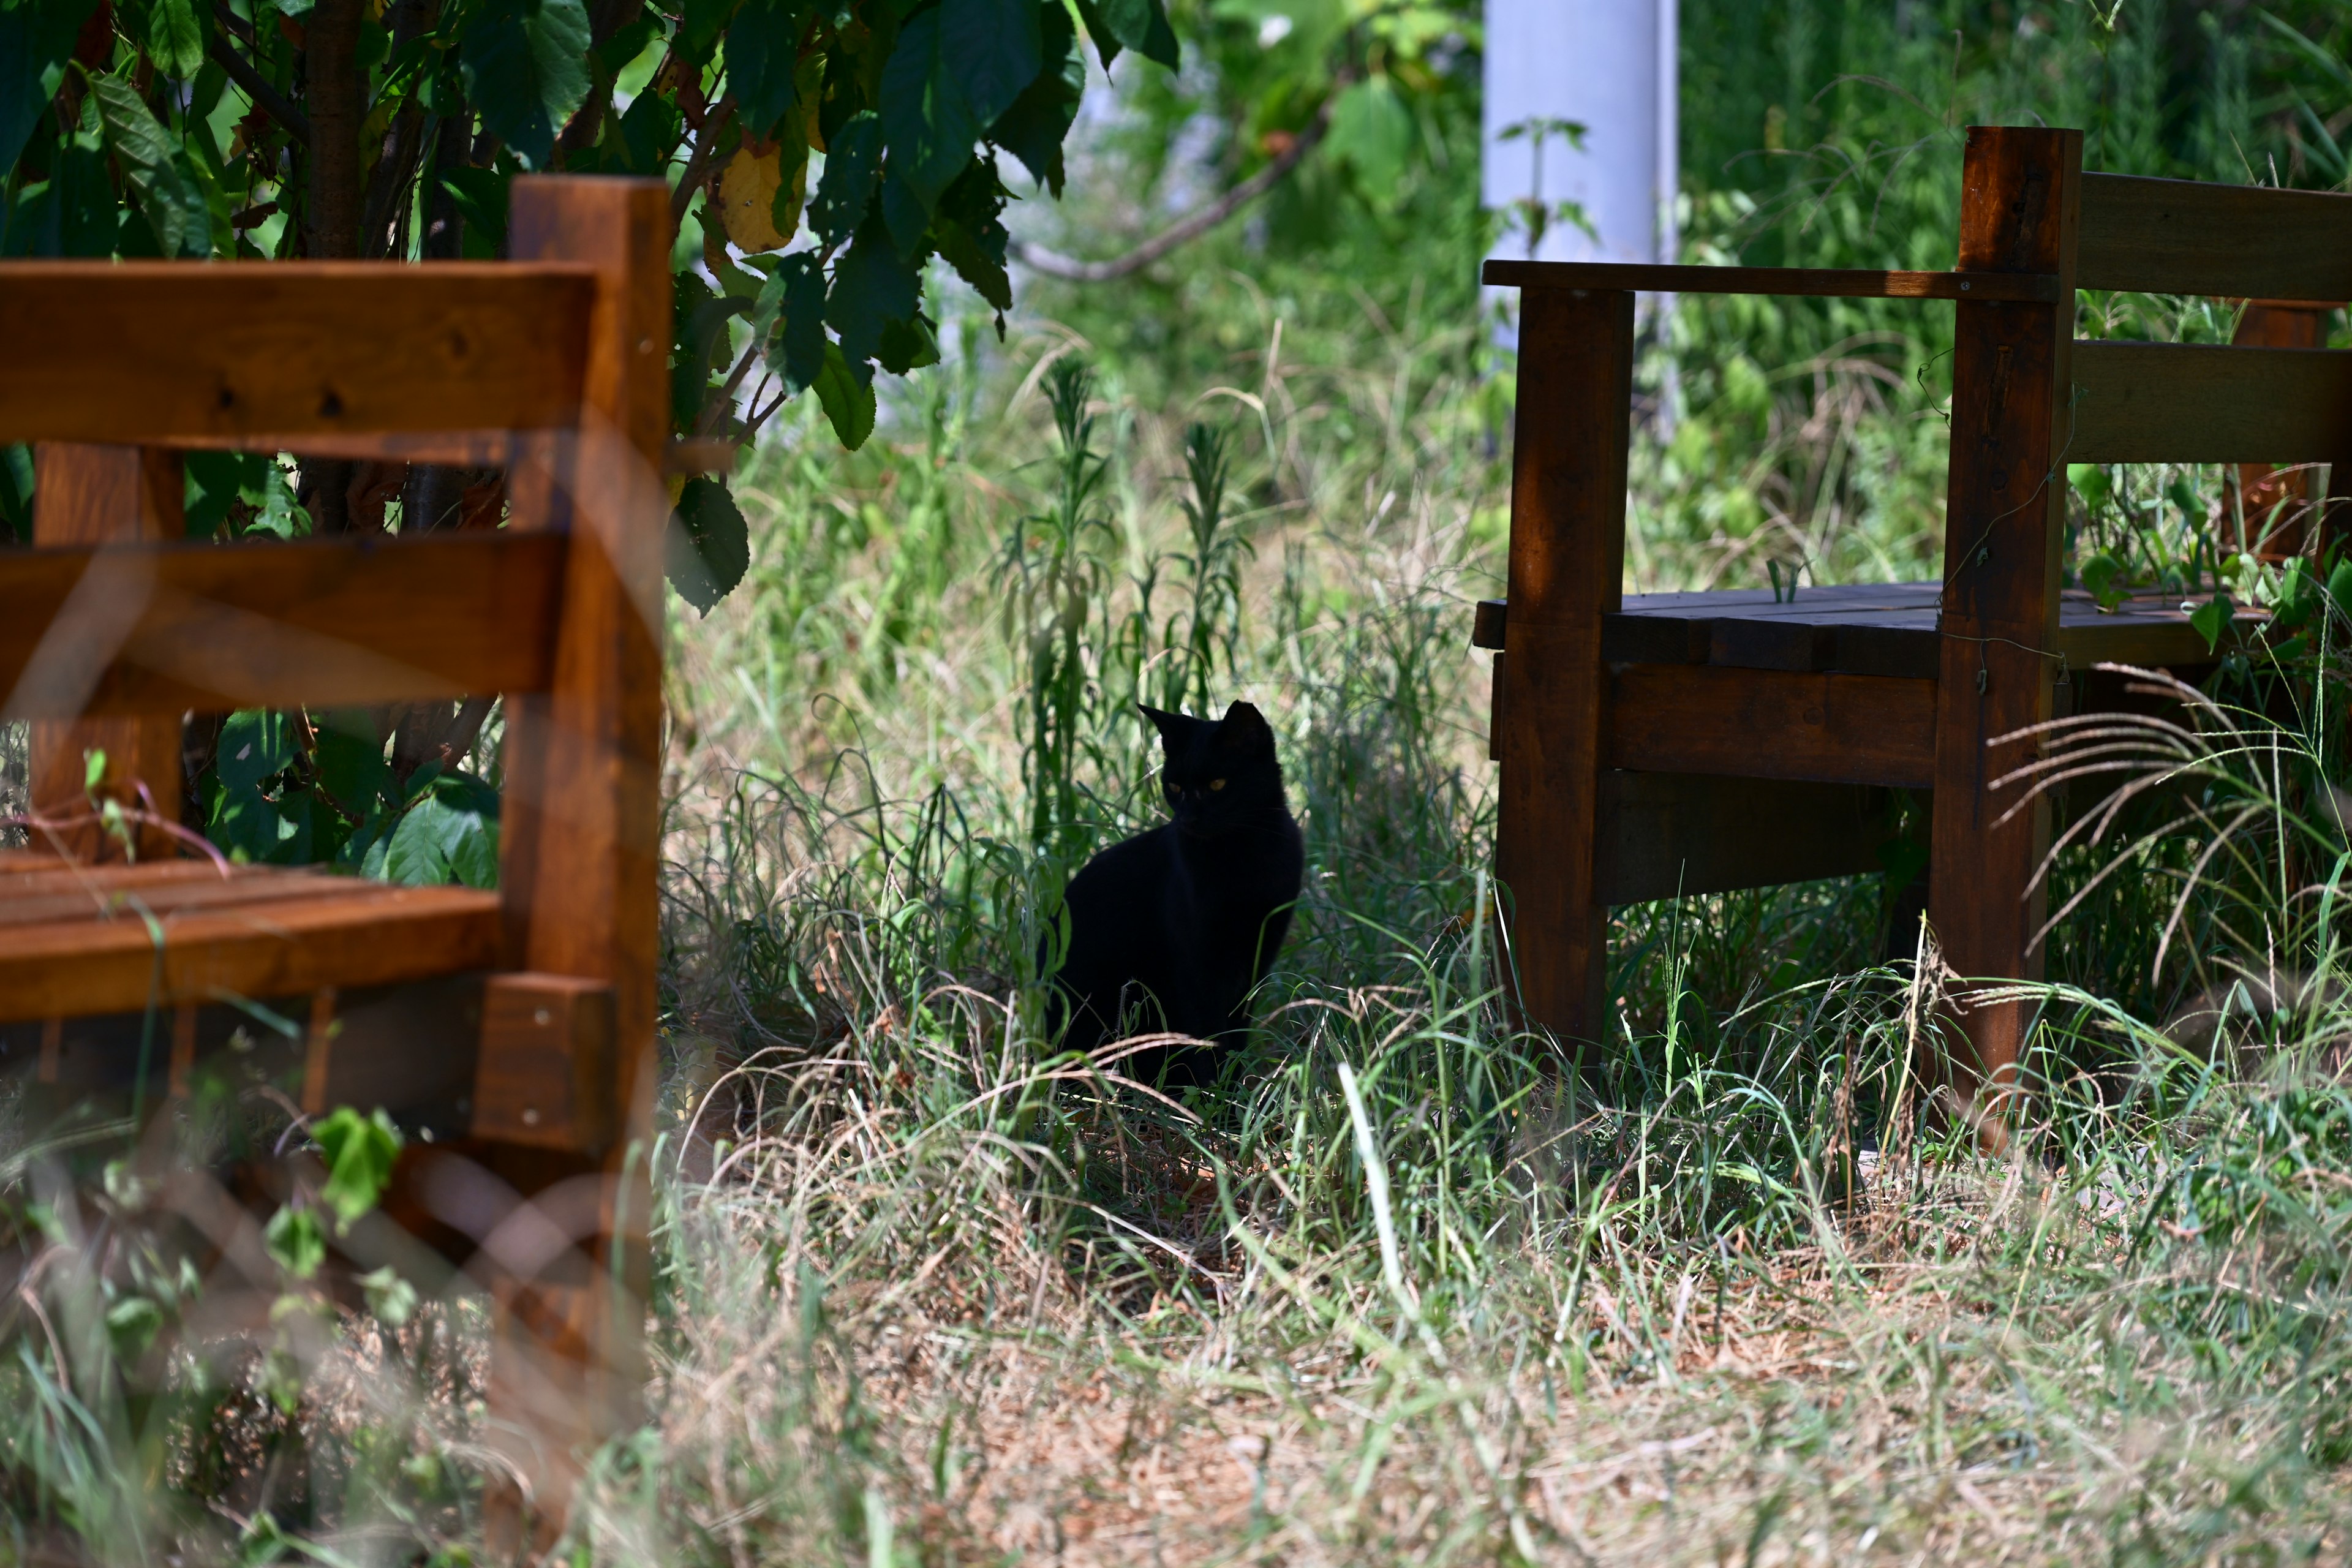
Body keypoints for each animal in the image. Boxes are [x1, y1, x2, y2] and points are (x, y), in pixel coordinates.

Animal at [1049, 700, 1308, 1090]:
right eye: (1174, 786)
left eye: (1217, 784)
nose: (1187, 818)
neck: (1242, 858)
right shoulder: (1196, 967)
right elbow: (1209, 1039)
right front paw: (1217, 1101)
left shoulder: (1256, 959)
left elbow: (1235, 1036)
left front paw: (1235, 1093)